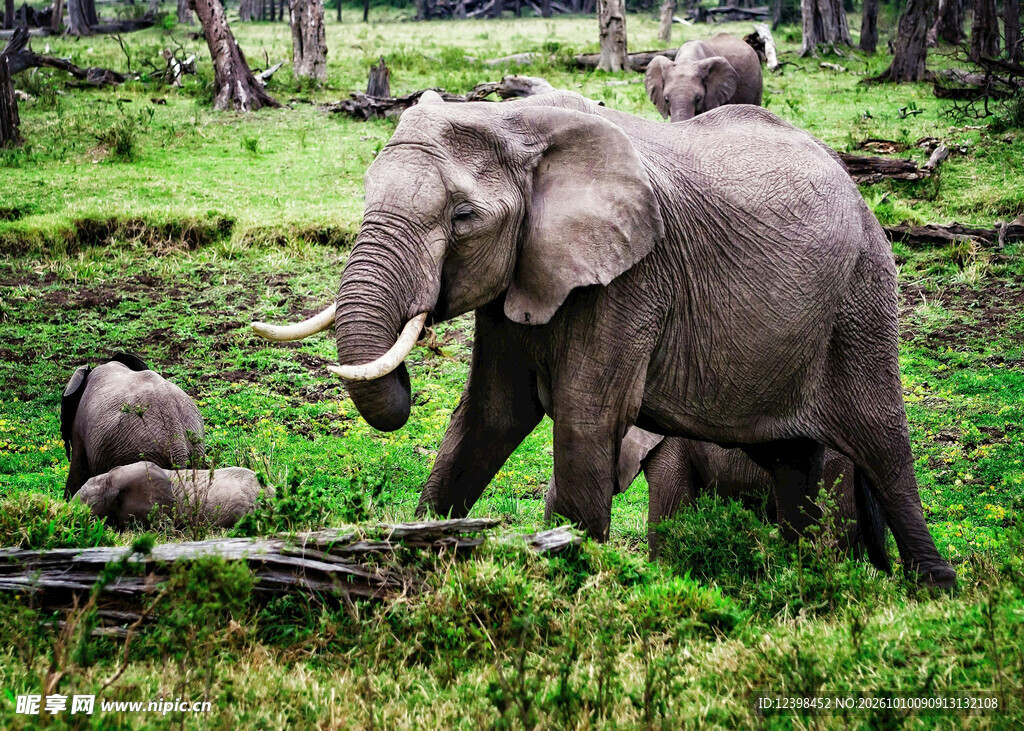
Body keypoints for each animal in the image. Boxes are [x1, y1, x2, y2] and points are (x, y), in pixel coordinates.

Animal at [250, 90, 955, 587]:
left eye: (463, 217)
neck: (515, 123)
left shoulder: (631, 279)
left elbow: (585, 419)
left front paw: (571, 572)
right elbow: (489, 416)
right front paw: (420, 547)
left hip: (861, 300)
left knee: (884, 445)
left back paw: (932, 590)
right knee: (793, 462)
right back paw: (808, 579)